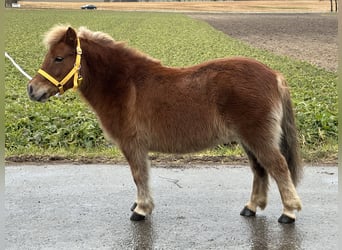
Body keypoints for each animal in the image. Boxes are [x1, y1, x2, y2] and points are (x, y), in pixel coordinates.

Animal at [28, 25, 304, 224]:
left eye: (58, 58)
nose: (32, 89)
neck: (124, 84)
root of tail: (274, 75)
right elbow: (141, 176)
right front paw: (140, 205)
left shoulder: (132, 144)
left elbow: (139, 175)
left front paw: (141, 209)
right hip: (249, 140)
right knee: (259, 170)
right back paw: (251, 207)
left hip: (258, 138)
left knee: (278, 167)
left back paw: (288, 213)